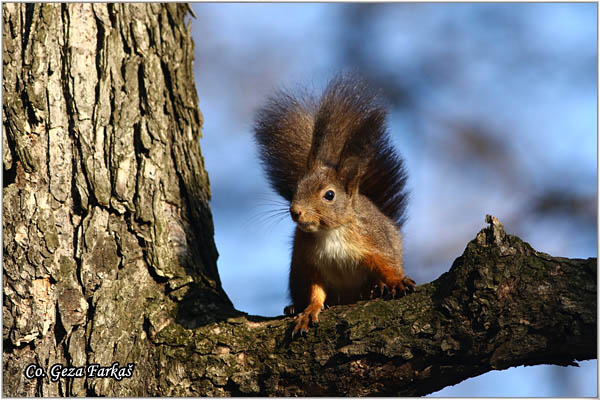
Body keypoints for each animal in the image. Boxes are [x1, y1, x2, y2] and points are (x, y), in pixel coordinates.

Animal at [252, 75, 412, 334]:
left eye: (329, 195)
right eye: (297, 186)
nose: (295, 211)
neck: (331, 233)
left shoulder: (374, 242)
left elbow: (387, 265)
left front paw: (395, 281)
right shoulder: (309, 262)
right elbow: (315, 292)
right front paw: (309, 311)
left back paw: (375, 289)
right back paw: (294, 307)